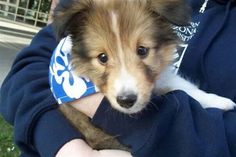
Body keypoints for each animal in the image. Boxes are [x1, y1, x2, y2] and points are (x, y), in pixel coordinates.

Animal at [52, 0, 235, 150]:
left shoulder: (160, 77)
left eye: (142, 50)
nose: (126, 101)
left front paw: (220, 102)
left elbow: (186, 88)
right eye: (102, 57)